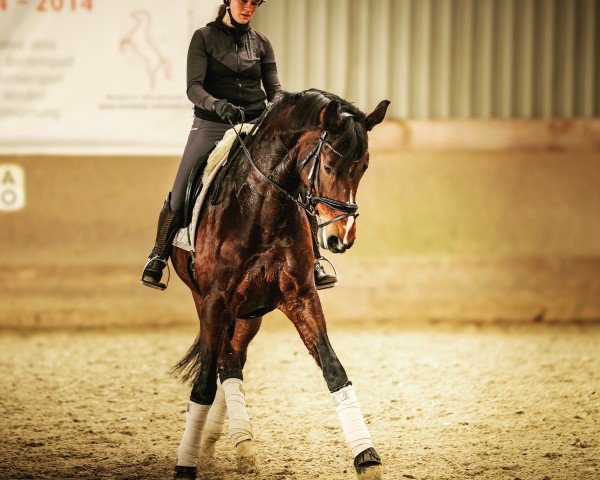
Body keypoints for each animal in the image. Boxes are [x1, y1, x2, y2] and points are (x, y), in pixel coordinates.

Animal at [171, 90, 392, 480]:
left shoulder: (300, 296)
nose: (342, 238)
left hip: (249, 314)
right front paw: (186, 465)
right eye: (329, 167)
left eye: (363, 167)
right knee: (222, 364)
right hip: (208, 302)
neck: (260, 207)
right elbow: (204, 382)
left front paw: (366, 456)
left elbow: (334, 370)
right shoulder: (214, 301)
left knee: (233, 362)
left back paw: (237, 444)